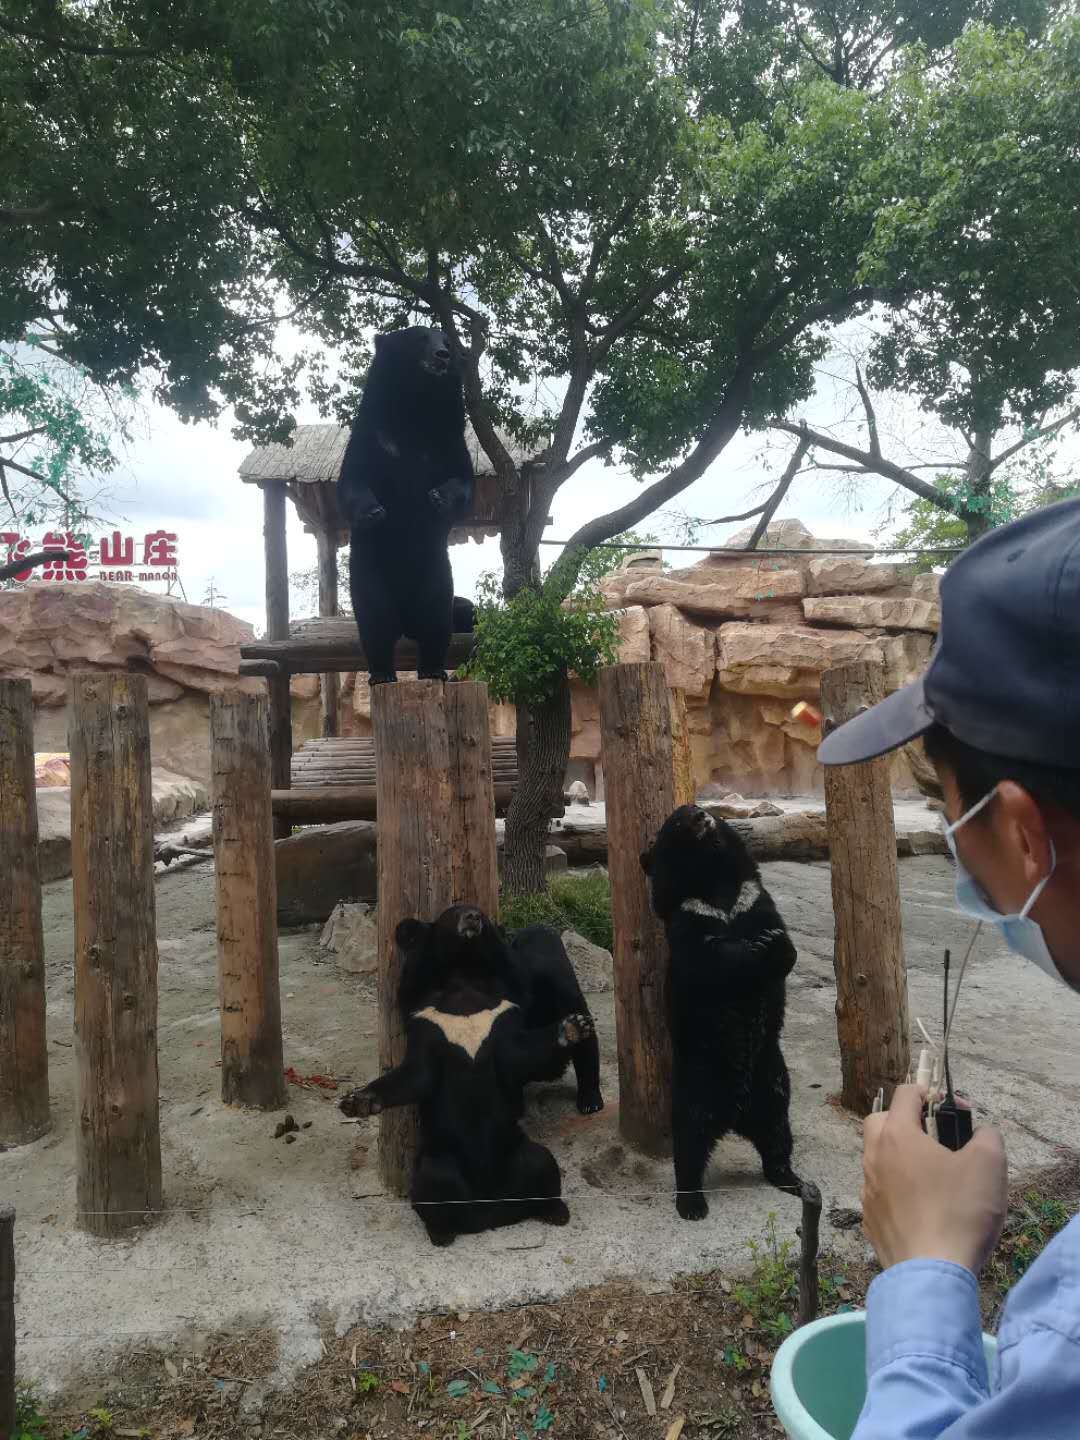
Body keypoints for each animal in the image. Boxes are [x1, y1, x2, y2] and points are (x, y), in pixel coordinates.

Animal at [338, 326, 472, 685]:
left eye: (448, 342)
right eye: (420, 337)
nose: (443, 355)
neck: (415, 408)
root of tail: (406, 622)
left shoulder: (448, 439)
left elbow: (463, 481)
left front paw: (438, 498)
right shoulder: (372, 435)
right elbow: (352, 481)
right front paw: (374, 512)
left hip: (437, 575)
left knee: (436, 621)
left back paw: (433, 668)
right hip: (369, 572)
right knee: (375, 621)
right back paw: (382, 673)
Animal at [642, 806, 806, 1221]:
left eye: (708, 811)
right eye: (678, 821)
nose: (701, 814)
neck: (716, 885)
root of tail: (735, 1114)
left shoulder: (755, 900)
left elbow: (785, 946)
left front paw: (771, 943)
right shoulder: (690, 918)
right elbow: (709, 960)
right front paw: (755, 949)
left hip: (774, 1084)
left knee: (779, 1137)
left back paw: (791, 1180)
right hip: (695, 1087)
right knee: (688, 1145)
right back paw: (691, 1204)